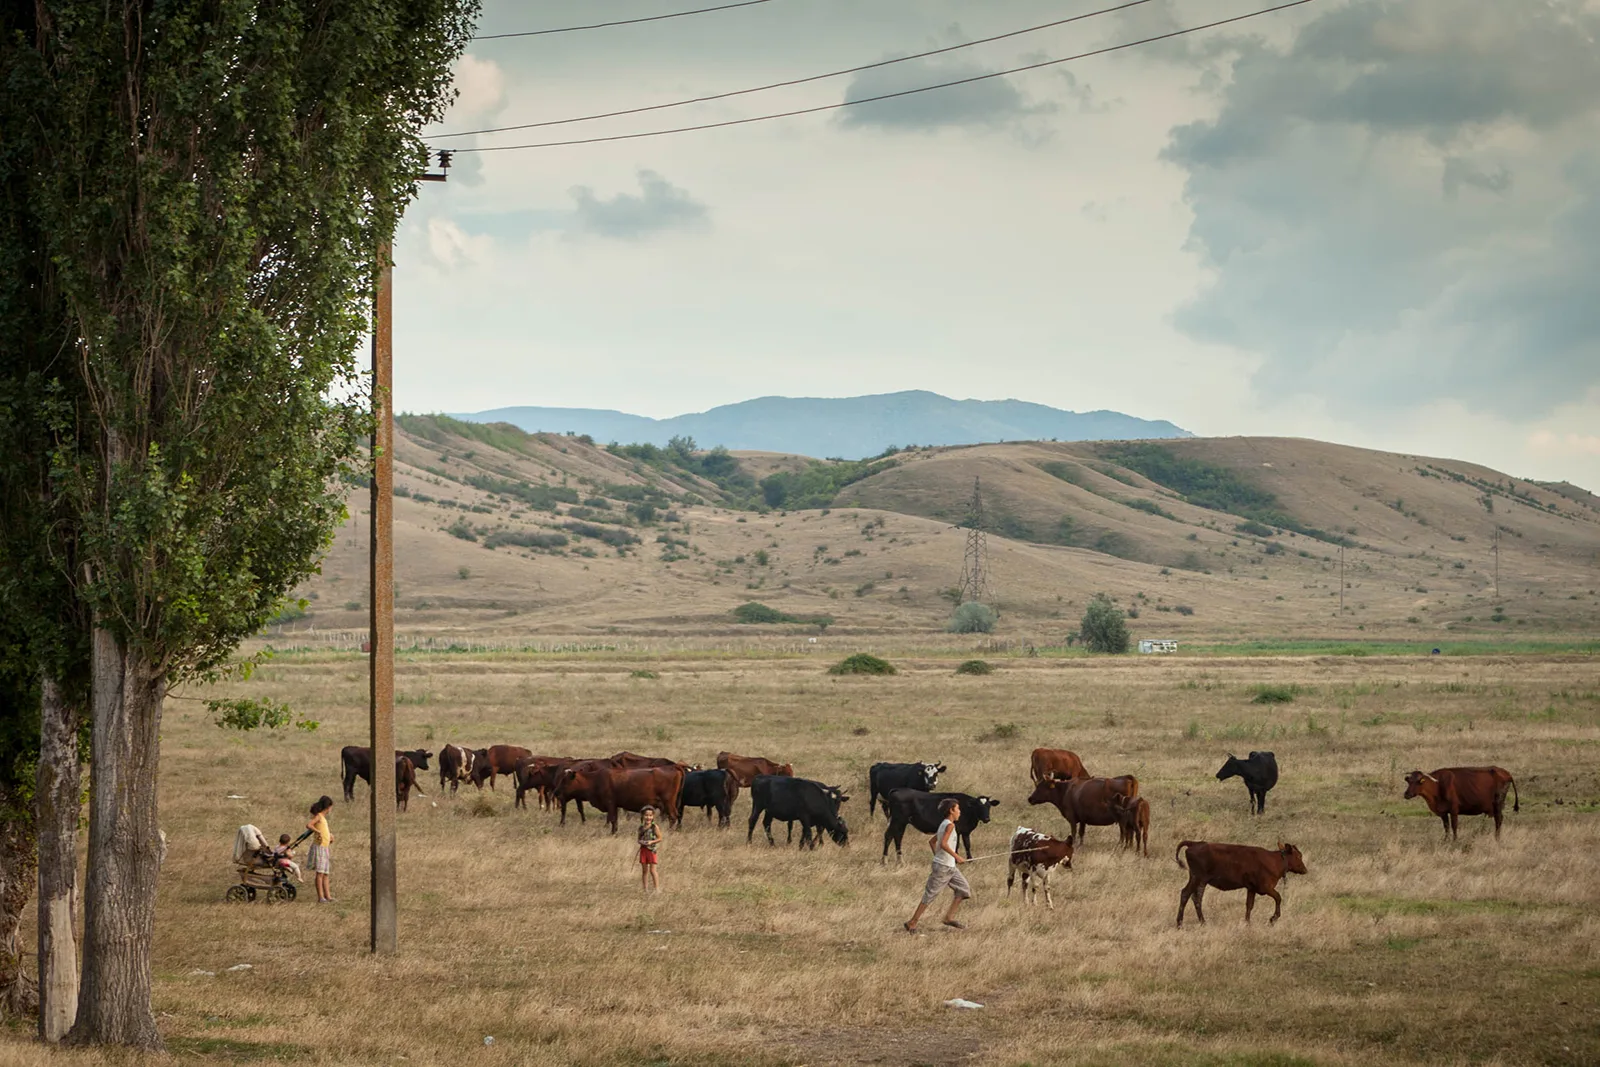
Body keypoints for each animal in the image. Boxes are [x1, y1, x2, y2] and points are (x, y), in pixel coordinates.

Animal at [1171, 844, 1305, 927]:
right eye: (1299, 856)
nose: (1305, 869)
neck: (1274, 860)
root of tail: (1194, 843)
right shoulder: (1266, 888)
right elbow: (1278, 897)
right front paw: (1273, 918)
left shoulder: (1251, 889)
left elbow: (1249, 905)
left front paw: (1247, 923)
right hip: (1197, 879)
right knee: (1185, 894)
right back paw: (1179, 924)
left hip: (1200, 881)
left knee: (1196, 898)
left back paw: (1203, 922)